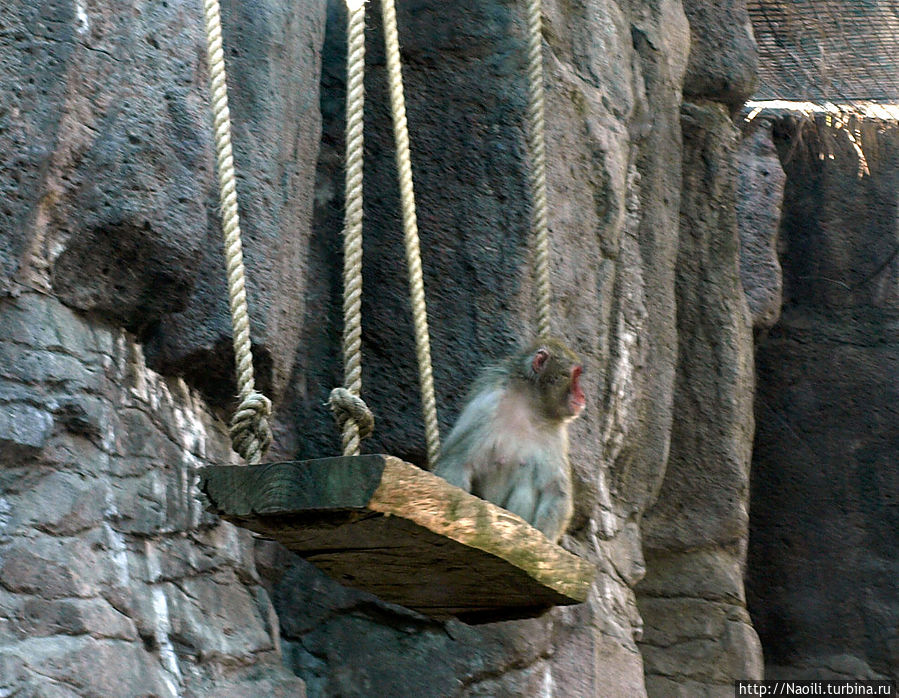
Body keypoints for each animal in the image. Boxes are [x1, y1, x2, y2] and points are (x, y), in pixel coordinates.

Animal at [434, 334, 588, 540]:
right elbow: (457, 464)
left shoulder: (557, 433)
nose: (582, 396)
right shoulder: (487, 405)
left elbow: (555, 491)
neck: (530, 405)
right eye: (574, 375)